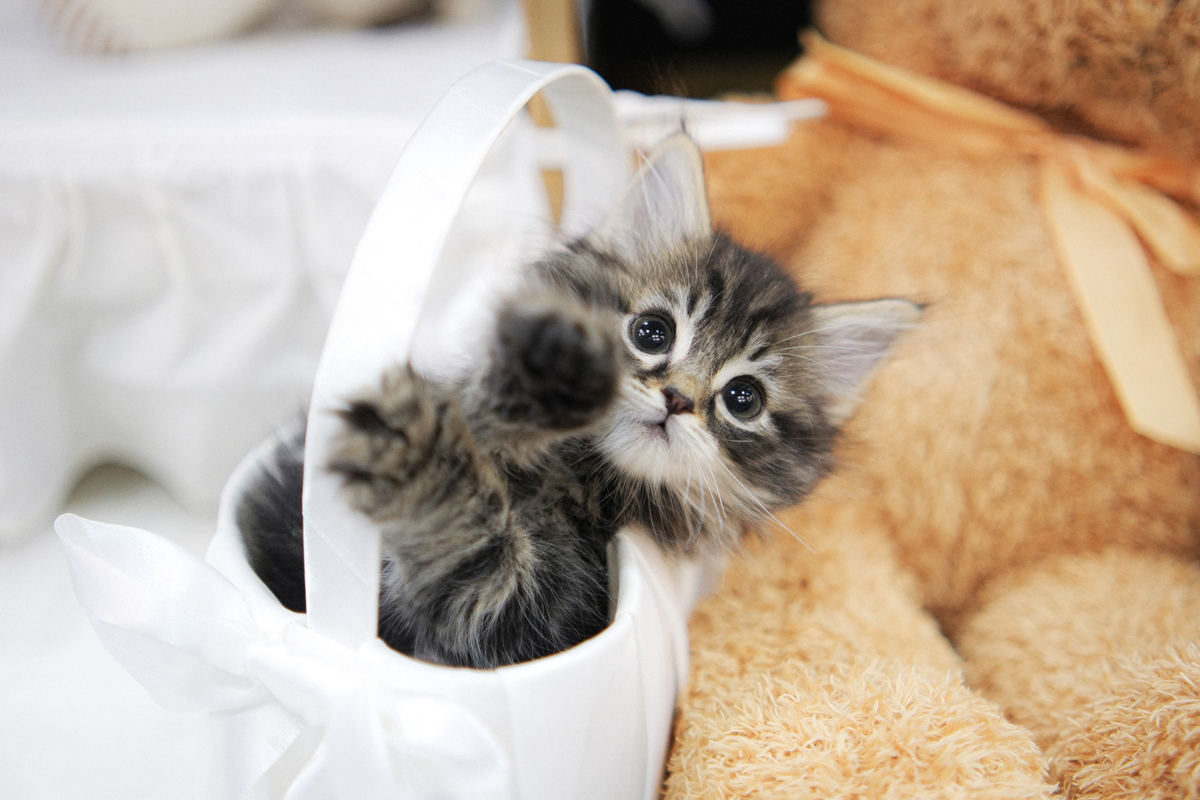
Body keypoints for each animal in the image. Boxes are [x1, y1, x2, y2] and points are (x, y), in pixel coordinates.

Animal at [237, 134, 920, 669]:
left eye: (743, 398)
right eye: (652, 332)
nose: (676, 399)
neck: (576, 479)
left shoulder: (517, 618)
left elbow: (472, 548)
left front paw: (416, 457)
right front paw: (540, 378)